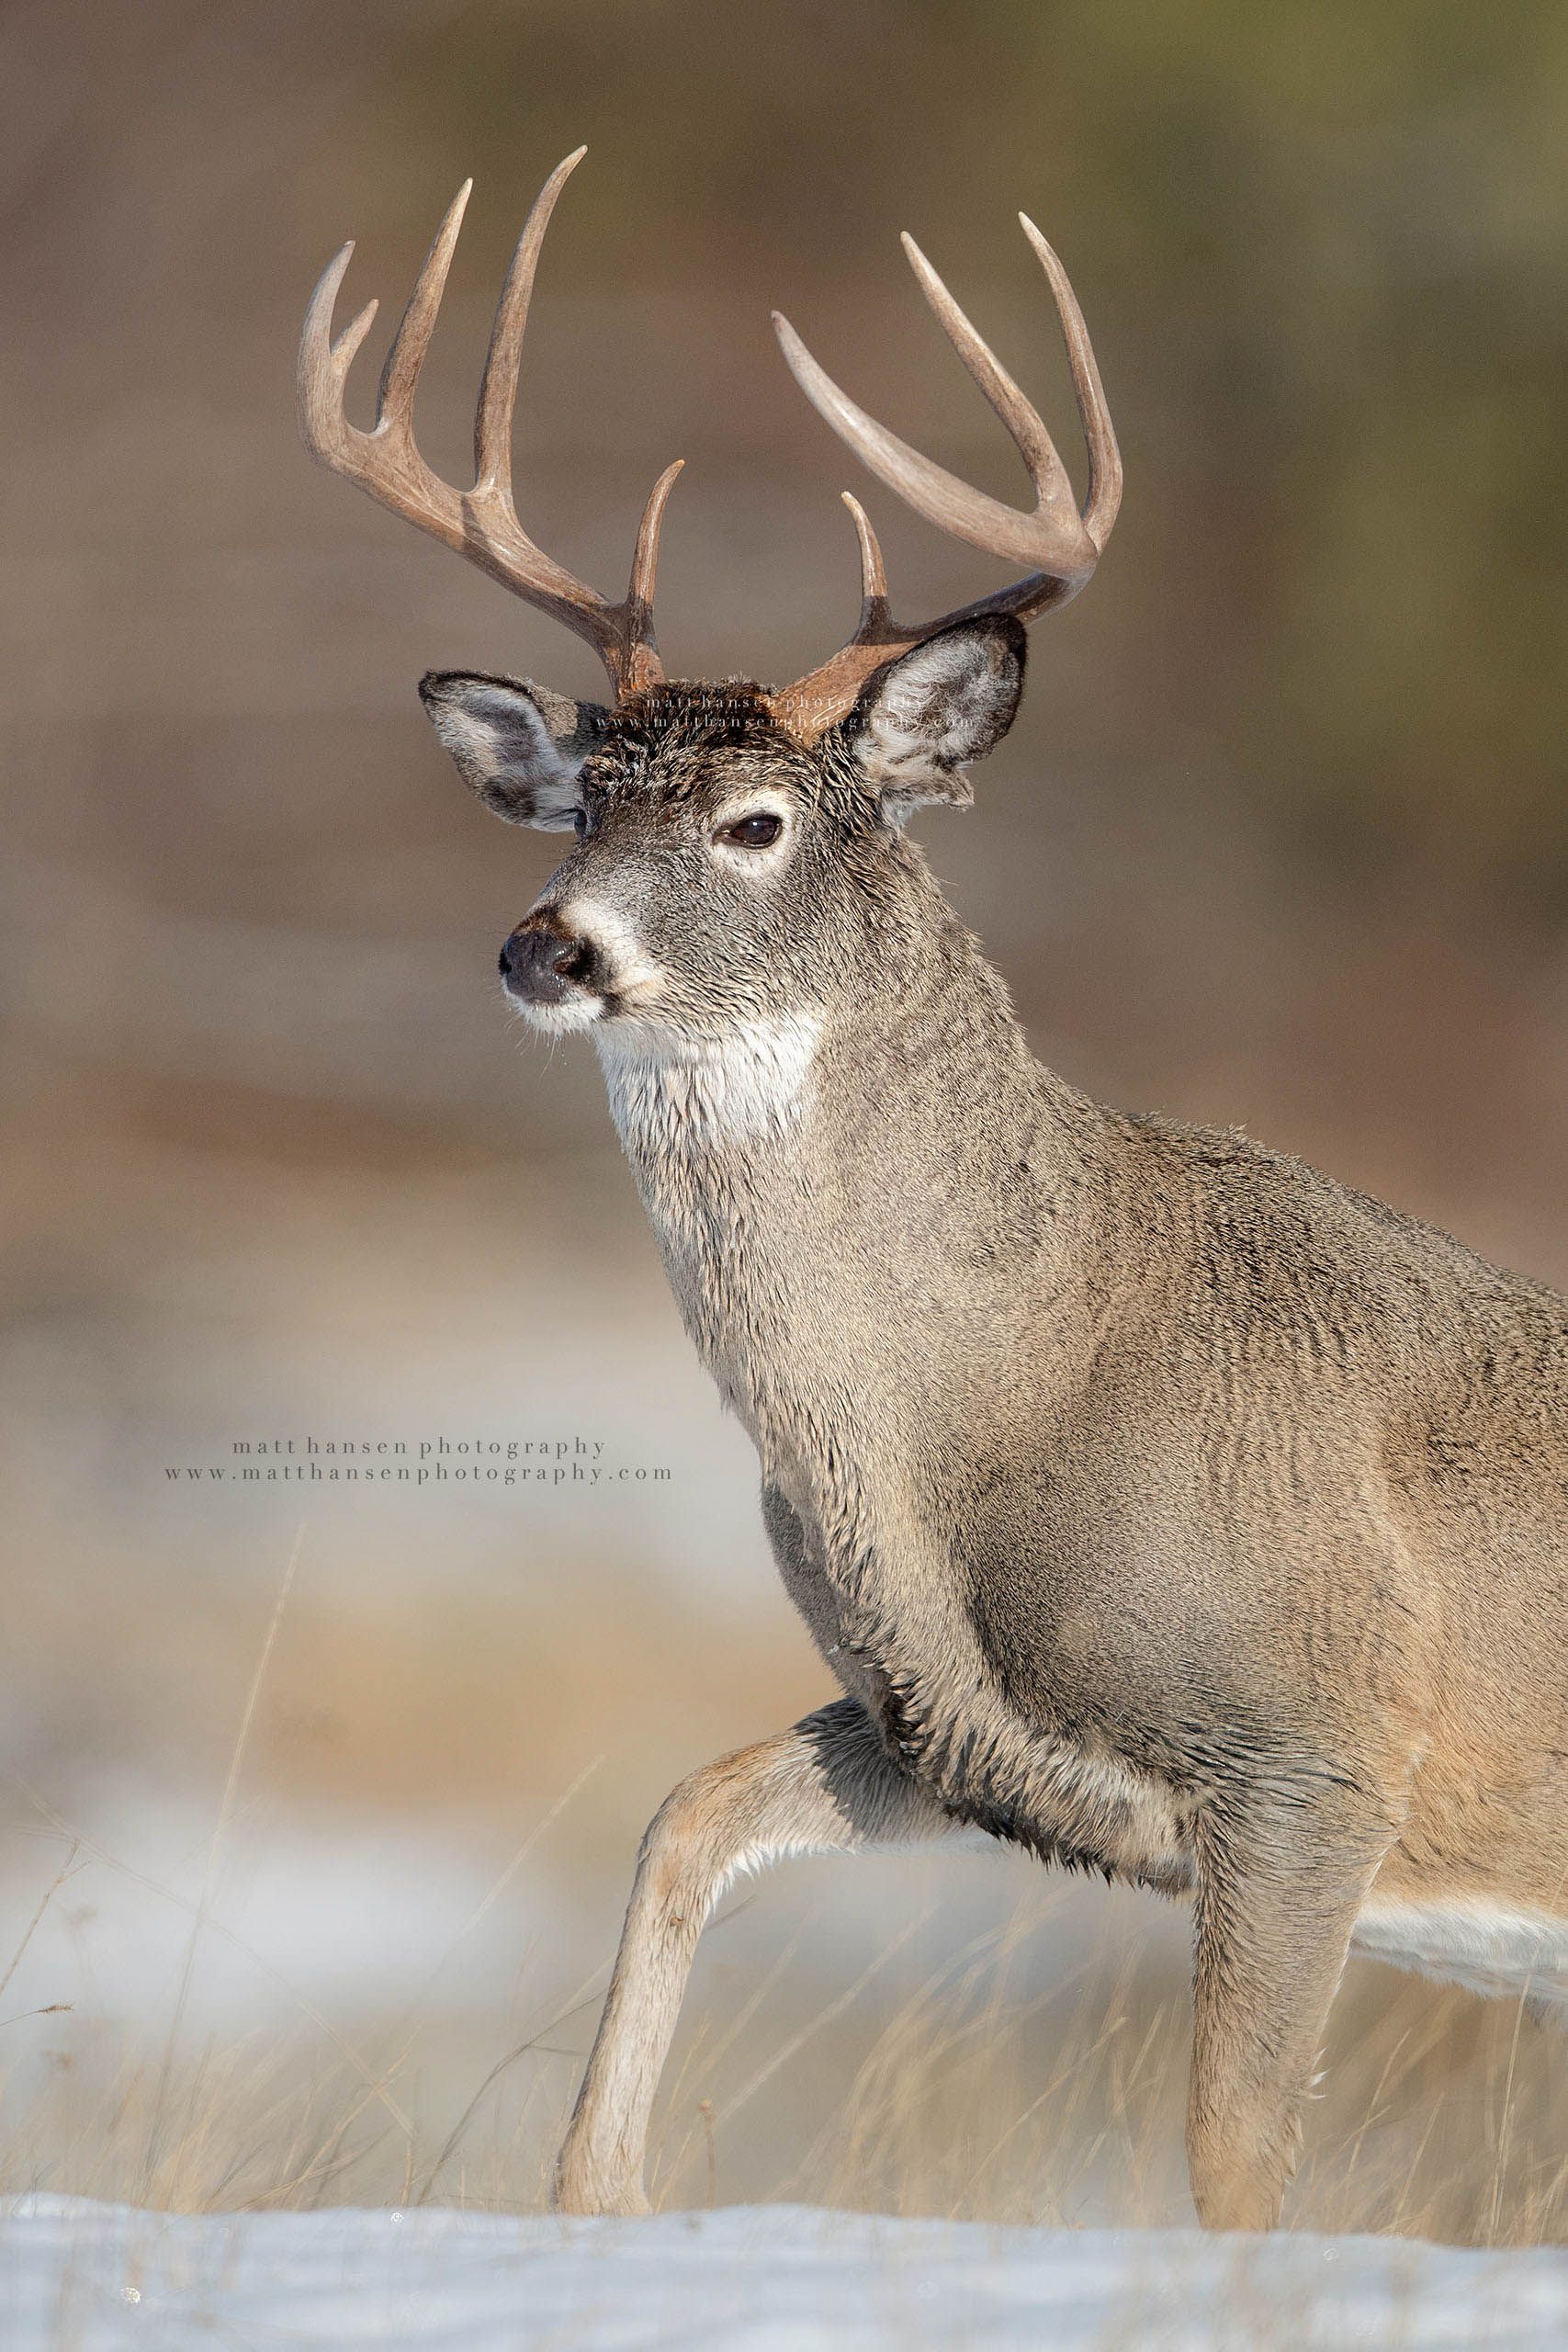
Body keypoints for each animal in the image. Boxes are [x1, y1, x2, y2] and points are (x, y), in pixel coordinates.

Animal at [299, 150, 1568, 2234]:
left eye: (755, 823)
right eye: (576, 809)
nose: (544, 947)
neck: (996, 1393)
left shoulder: (1313, 1750)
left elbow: (1235, 2161)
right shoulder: (943, 1730)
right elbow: (682, 1808)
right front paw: (590, 2198)